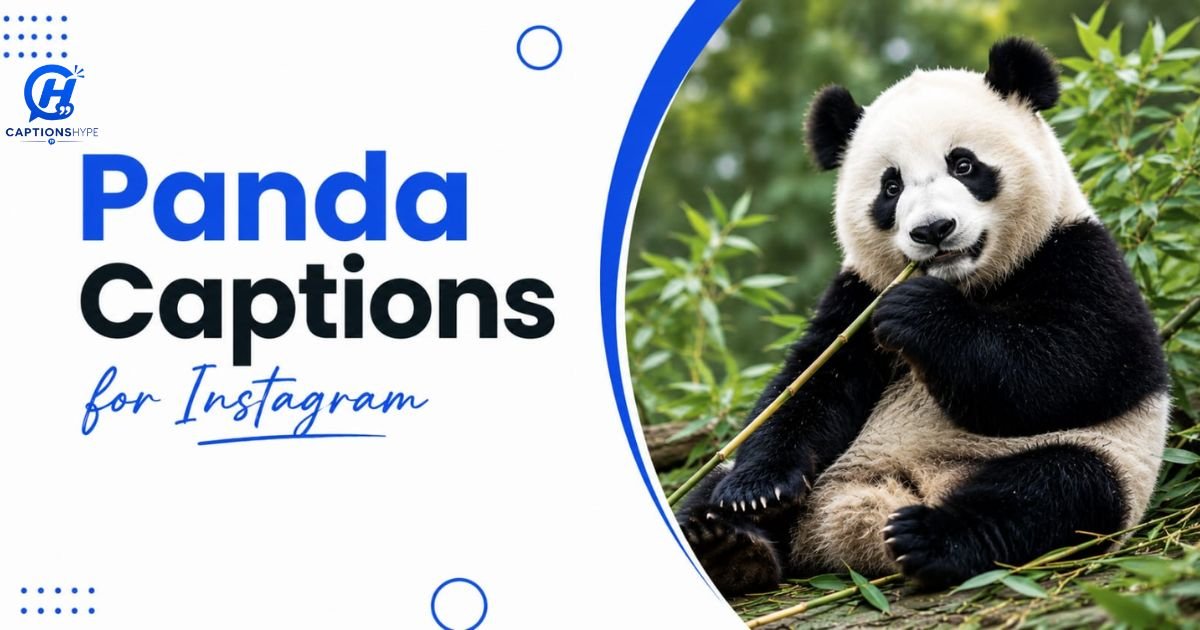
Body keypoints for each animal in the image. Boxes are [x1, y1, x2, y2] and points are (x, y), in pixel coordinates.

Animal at [676, 37, 1170, 595]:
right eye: (891, 188)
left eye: (963, 165)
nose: (933, 229)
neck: (966, 282)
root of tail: (856, 521)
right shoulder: (857, 295)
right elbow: (810, 383)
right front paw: (757, 490)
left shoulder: (1076, 254)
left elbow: (1087, 364)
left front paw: (919, 314)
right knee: (711, 486)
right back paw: (727, 545)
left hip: (1102, 462)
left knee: (1054, 491)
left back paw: (927, 537)